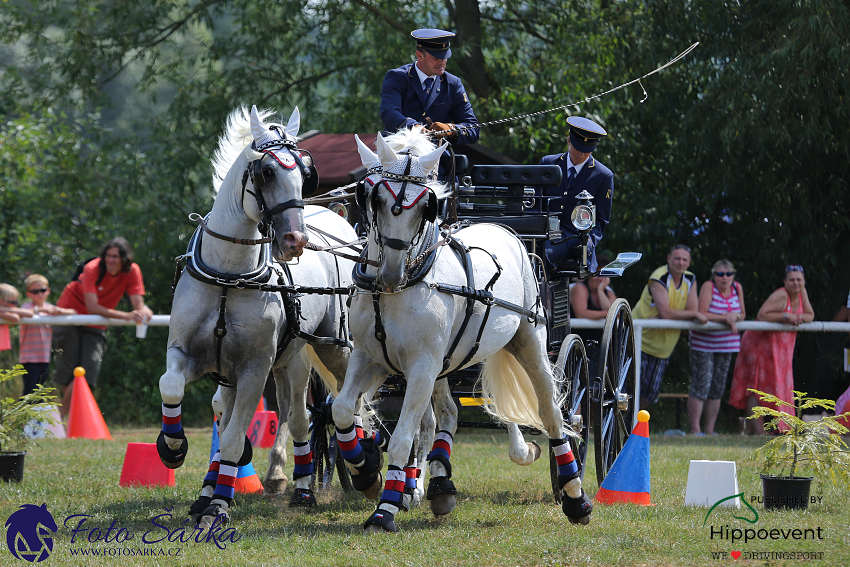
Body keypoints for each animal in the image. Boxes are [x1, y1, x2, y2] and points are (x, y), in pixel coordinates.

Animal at [156, 107, 354, 528]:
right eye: (266, 172)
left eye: (305, 173)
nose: (295, 240)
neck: (228, 276)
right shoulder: (186, 353)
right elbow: (173, 388)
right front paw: (173, 447)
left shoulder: (254, 367)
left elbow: (233, 436)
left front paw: (218, 504)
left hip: (323, 352)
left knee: (321, 412)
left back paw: (346, 474)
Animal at [332, 131, 588, 536]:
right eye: (373, 196)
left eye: (426, 206)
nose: (389, 273)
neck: (403, 287)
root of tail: (505, 228)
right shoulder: (371, 358)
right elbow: (343, 410)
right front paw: (366, 467)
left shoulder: (421, 366)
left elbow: (403, 437)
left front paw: (385, 509)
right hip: (446, 361)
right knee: (449, 413)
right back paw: (439, 485)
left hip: (529, 340)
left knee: (551, 412)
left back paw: (575, 496)